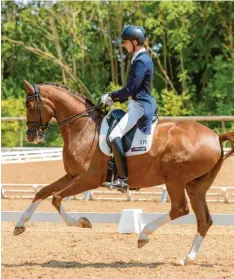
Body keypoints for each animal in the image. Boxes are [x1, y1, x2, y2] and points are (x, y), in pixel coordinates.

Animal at [15, 80, 234, 266]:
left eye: (31, 106)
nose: (31, 136)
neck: (83, 129)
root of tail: (216, 136)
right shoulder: (72, 176)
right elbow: (42, 192)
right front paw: (19, 225)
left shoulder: (88, 179)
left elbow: (56, 198)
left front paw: (83, 222)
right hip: (195, 186)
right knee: (204, 220)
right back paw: (187, 258)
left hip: (175, 180)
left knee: (180, 209)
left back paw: (144, 236)